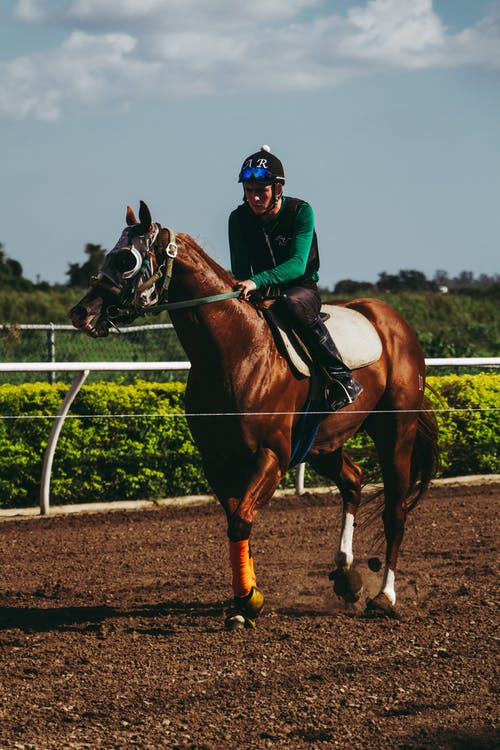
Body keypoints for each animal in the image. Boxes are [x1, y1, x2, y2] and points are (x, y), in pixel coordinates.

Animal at [69, 203, 438, 632]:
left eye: (126, 259)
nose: (81, 312)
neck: (234, 351)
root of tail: (392, 320)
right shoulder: (218, 459)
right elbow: (234, 521)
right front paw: (246, 599)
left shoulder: (271, 456)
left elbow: (242, 519)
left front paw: (248, 600)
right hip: (323, 442)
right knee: (353, 480)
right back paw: (346, 575)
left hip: (396, 429)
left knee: (395, 510)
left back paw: (385, 597)